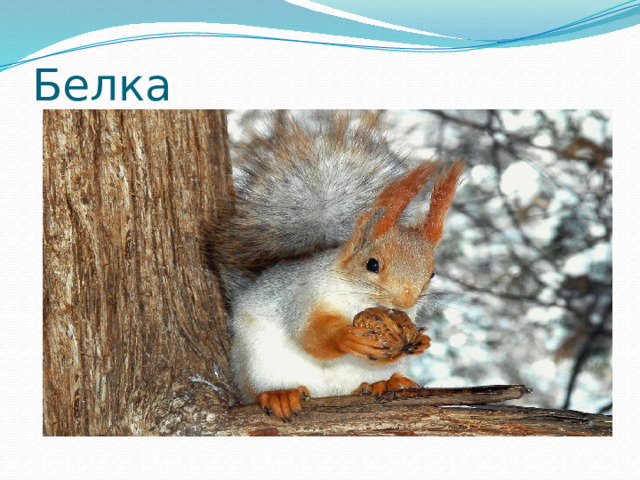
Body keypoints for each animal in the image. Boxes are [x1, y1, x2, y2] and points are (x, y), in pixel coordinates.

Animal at [203, 111, 464, 420]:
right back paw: (280, 394)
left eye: (432, 273)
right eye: (372, 264)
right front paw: (346, 338)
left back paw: (386, 383)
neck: (354, 298)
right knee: (260, 388)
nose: (405, 301)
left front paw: (421, 340)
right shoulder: (302, 296)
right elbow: (309, 335)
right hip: (258, 362)